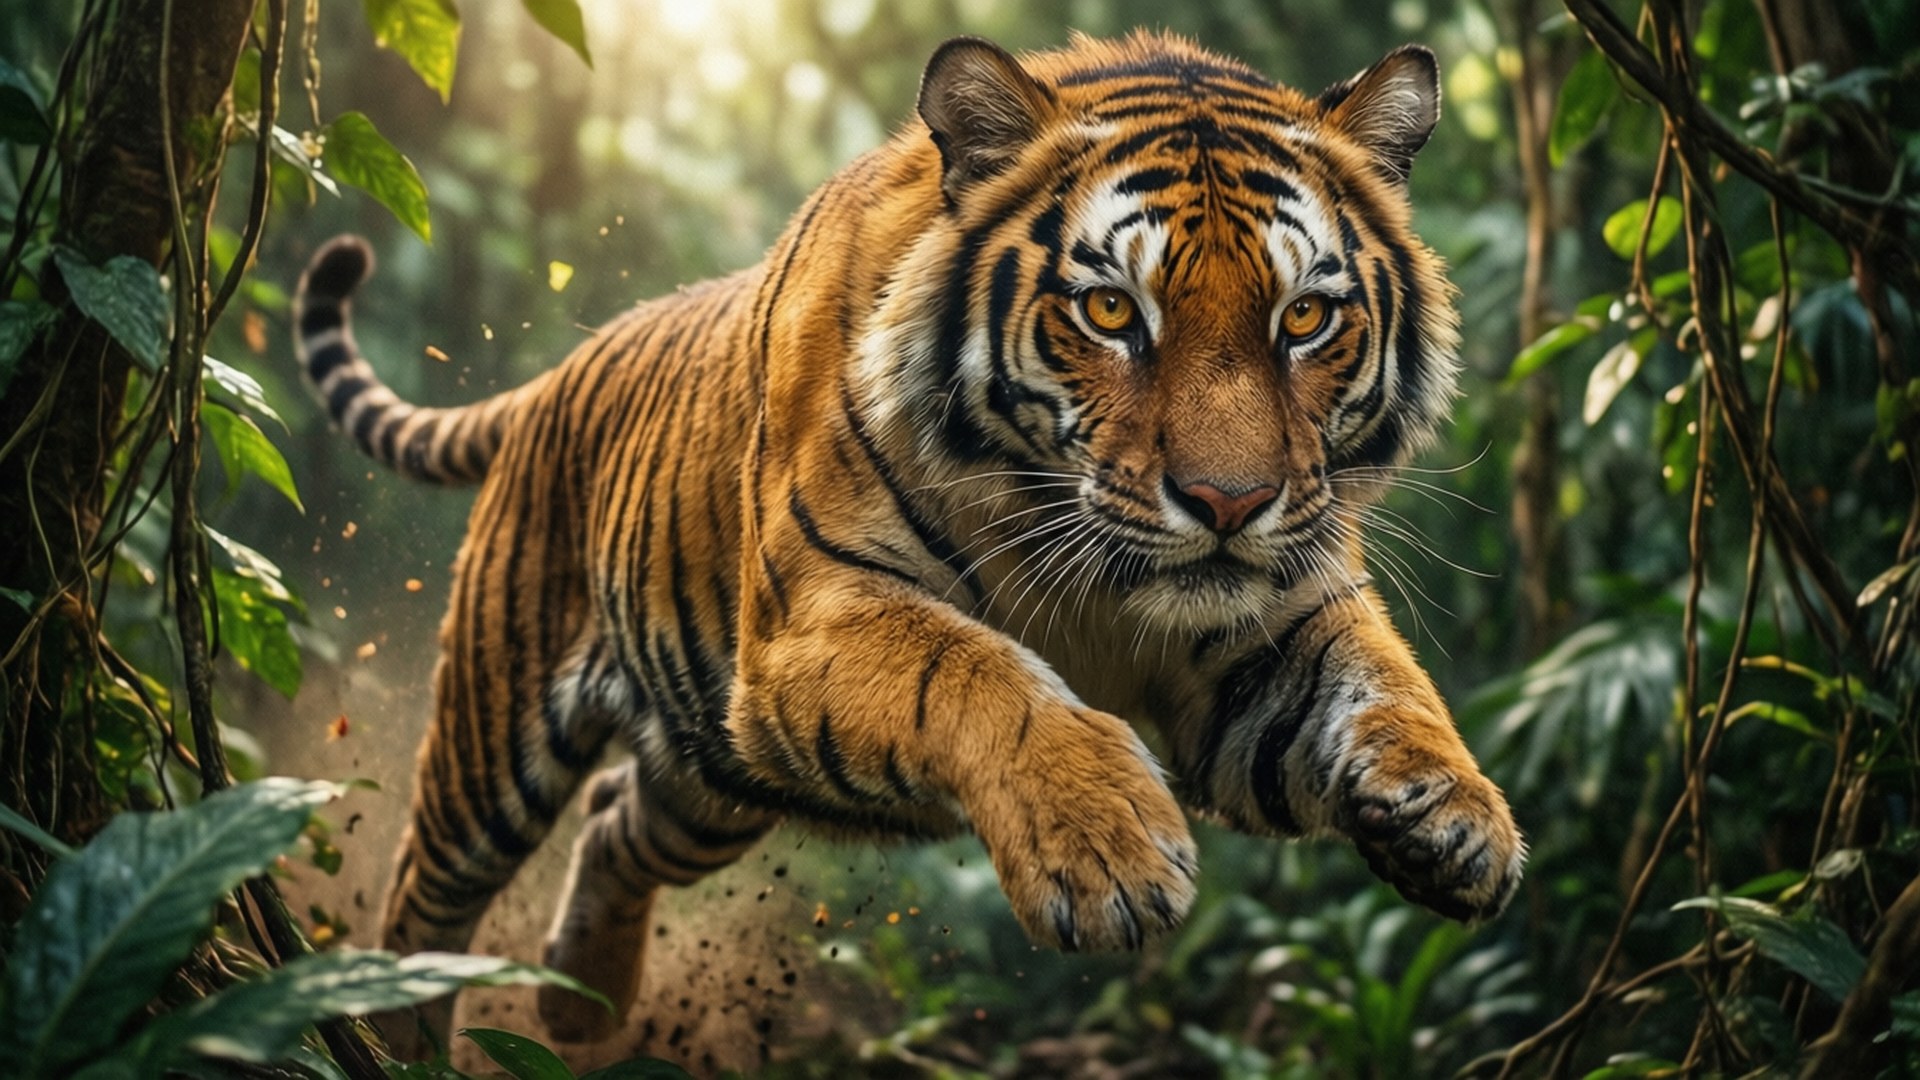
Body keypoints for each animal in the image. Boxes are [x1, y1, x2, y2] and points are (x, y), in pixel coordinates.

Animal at [291, 30, 1524, 1053]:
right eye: (1112, 312)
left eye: (1305, 317)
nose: (1229, 503)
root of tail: (566, 366)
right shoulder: (817, 620)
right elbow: (978, 674)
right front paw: (1107, 849)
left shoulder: (1260, 638)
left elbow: (1380, 680)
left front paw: (1459, 817)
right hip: (499, 738)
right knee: (425, 897)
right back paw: (384, 1035)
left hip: (712, 771)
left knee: (613, 822)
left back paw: (579, 1010)